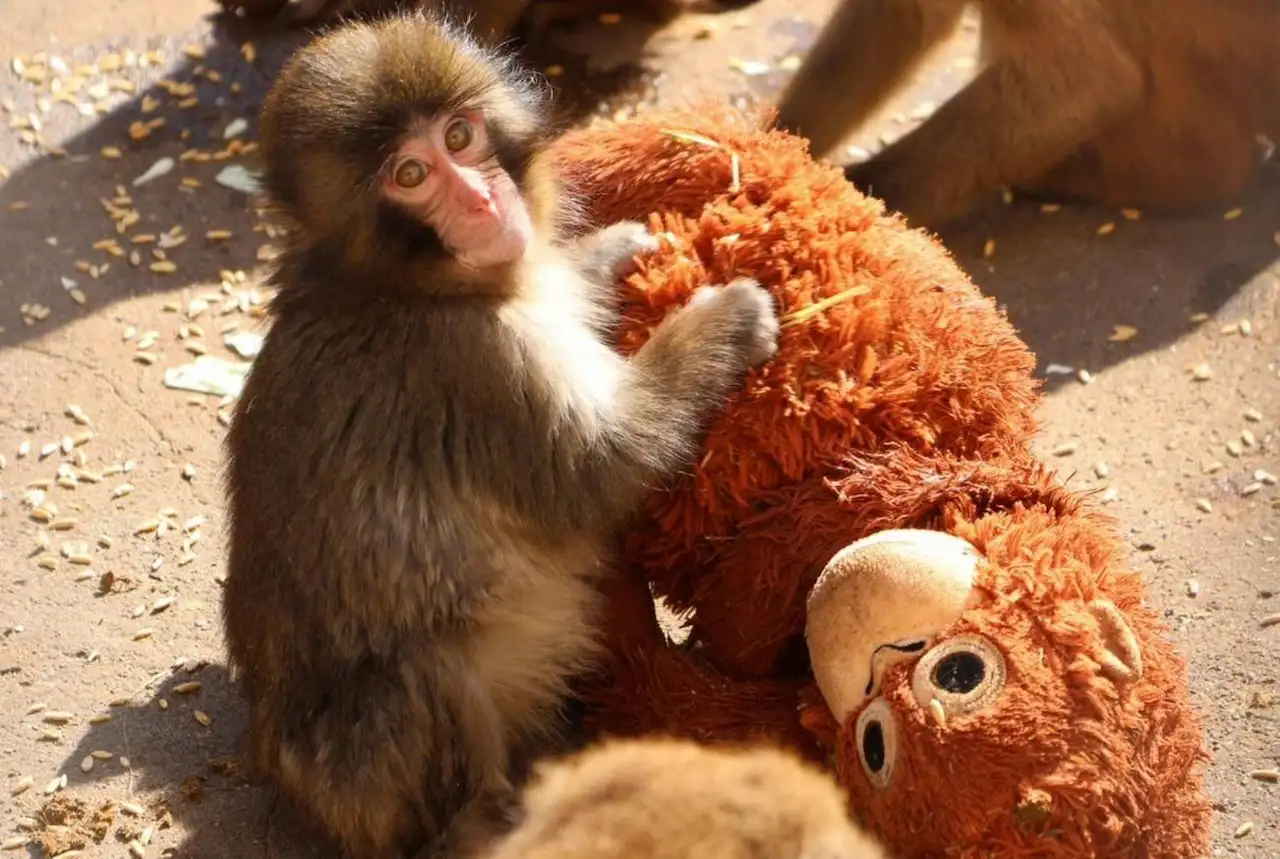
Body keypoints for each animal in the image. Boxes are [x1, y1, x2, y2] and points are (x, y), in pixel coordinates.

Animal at [221, 10, 779, 859]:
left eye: (460, 136)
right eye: (410, 175)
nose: (483, 201)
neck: (407, 285)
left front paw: (606, 254)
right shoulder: (474, 364)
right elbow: (597, 471)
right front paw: (723, 322)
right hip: (366, 779)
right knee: (422, 670)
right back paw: (490, 817)